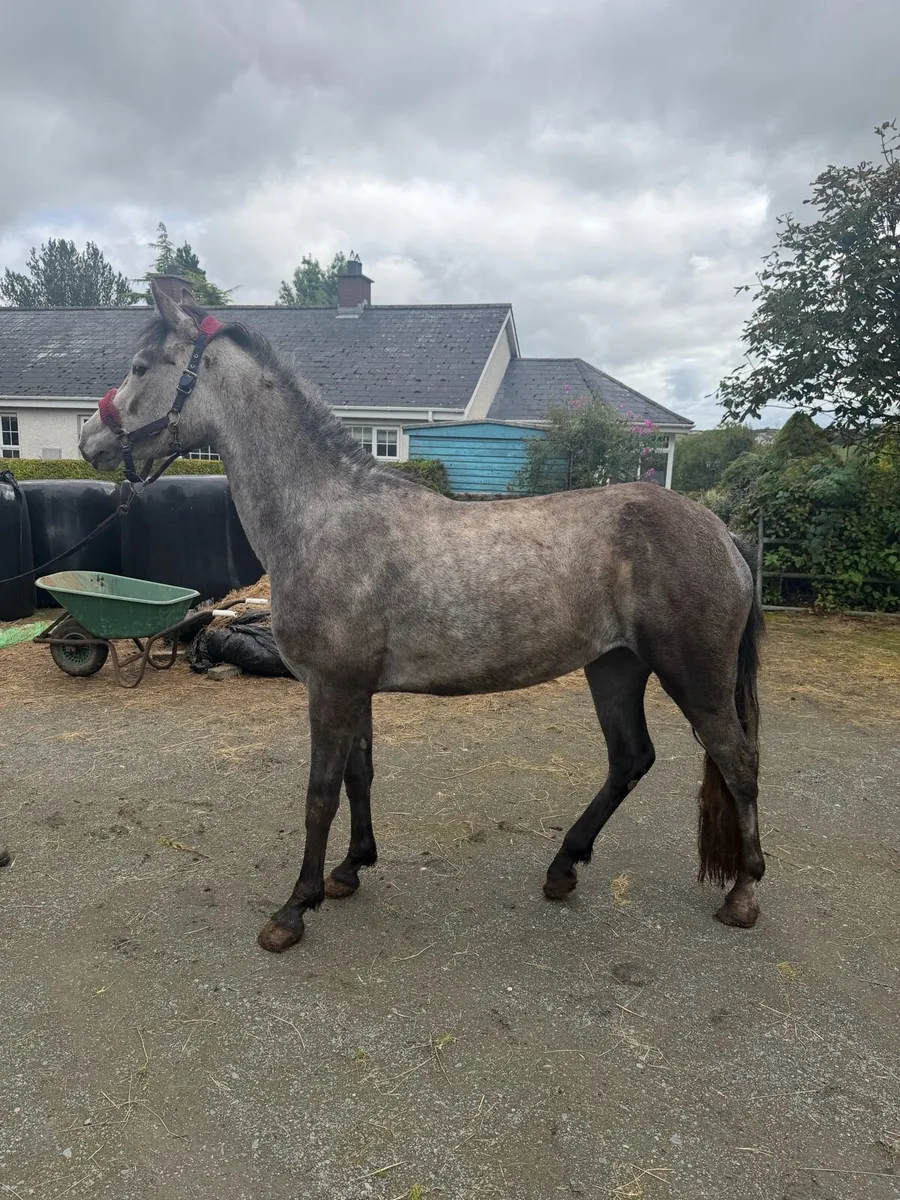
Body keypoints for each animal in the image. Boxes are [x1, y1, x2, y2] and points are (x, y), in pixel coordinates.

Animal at [79, 280, 765, 954]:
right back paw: (563, 867)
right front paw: (350, 869)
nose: (90, 440)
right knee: (630, 759)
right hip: (614, 668)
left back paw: (743, 895)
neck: (323, 515)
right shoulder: (355, 689)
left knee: (738, 762)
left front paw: (295, 908)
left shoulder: (331, 688)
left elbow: (320, 794)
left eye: (142, 367)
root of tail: (723, 534)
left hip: (693, 678)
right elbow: (359, 774)